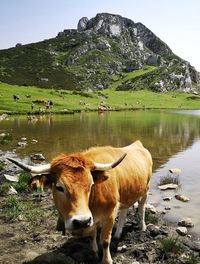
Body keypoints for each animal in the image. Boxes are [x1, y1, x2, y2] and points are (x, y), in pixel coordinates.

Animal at [7, 139, 152, 262]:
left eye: (91, 184)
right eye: (59, 187)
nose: (81, 221)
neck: (92, 203)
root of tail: (138, 144)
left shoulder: (110, 214)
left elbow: (105, 240)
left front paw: (107, 260)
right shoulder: (92, 219)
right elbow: (92, 235)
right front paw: (94, 253)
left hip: (145, 190)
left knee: (141, 208)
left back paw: (143, 227)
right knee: (124, 211)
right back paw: (118, 233)